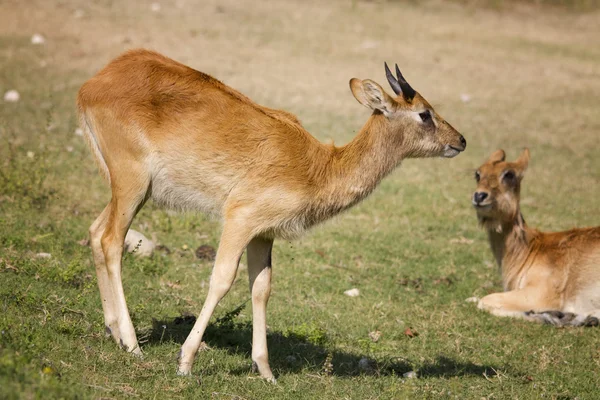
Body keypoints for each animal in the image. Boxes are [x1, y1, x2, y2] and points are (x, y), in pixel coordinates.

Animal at [76, 48, 468, 380]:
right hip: (132, 184)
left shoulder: (263, 234)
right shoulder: (239, 219)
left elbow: (261, 289)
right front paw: (185, 361)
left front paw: (265, 371)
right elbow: (221, 280)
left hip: (130, 190)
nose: (461, 141)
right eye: (424, 113)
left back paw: (114, 332)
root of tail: (93, 84)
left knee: (96, 231)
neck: (317, 167)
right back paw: (132, 345)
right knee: (111, 241)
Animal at [472, 148, 596, 326]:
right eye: (478, 173)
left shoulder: (541, 293)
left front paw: (553, 316)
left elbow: (484, 301)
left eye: (509, 174)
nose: (479, 196)